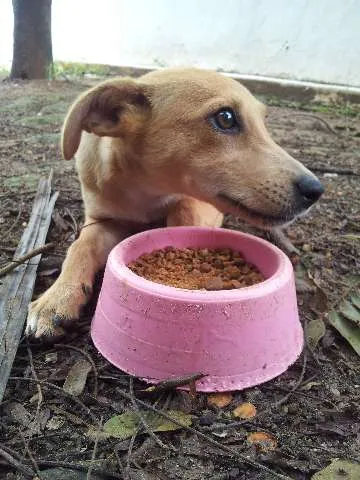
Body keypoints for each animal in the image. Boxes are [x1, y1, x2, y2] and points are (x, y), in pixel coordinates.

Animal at [25, 67, 324, 338]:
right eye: (225, 118)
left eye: (263, 122)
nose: (316, 190)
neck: (144, 190)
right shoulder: (101, 219)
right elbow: (79, 247)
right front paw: (56, 300)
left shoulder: (201, 202)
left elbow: (182, 214)